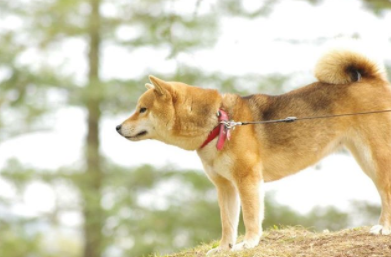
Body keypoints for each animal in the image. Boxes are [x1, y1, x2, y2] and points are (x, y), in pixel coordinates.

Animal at [116, 43, 391, 253]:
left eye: (142, 109)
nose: (117, 127)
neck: (218, 123)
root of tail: (373, 80)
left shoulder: (247, 179)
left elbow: (249, 216)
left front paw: (248, 243)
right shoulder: (225, 187)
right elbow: (227, 223)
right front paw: (223, 248)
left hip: (376, 157)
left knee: (386, 192)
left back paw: (384, 227)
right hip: (365, 160)